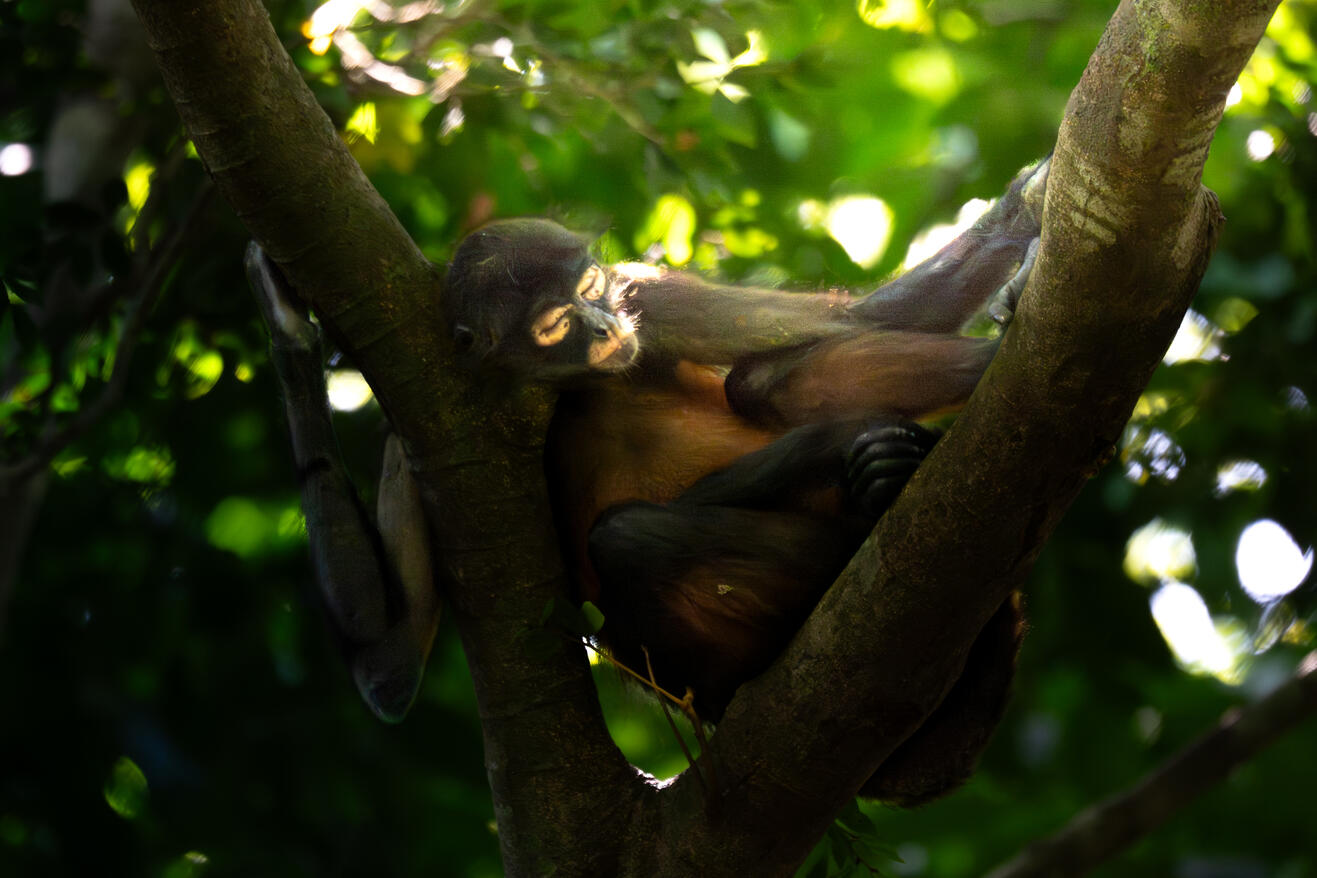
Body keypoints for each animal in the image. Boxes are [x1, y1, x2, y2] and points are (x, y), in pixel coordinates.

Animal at [248, 158, 1047, 805]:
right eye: (555, 322)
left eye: (591, 288)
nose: (604, 326)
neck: (558, 392)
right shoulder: (411, 426)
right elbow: (388, 668)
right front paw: (287, 327)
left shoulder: (644, 292)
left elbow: (858, 318)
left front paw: (1028, 202)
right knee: (628, 538)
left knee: (756, 386)